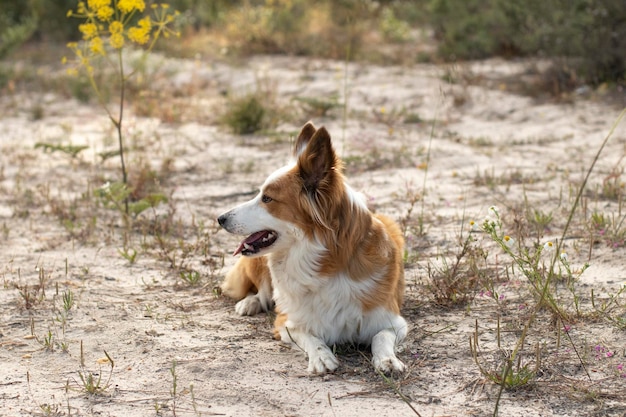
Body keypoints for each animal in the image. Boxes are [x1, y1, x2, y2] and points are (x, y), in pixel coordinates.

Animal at [217, 121, 408, 374]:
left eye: (267, 198)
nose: (220, 218)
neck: (322, 262)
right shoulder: (287, 323)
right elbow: (310, 336)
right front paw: (321, 357)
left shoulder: (393, 321)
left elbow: (381, 337)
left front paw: (387, 360)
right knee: (262, 291)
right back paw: (250, 302)